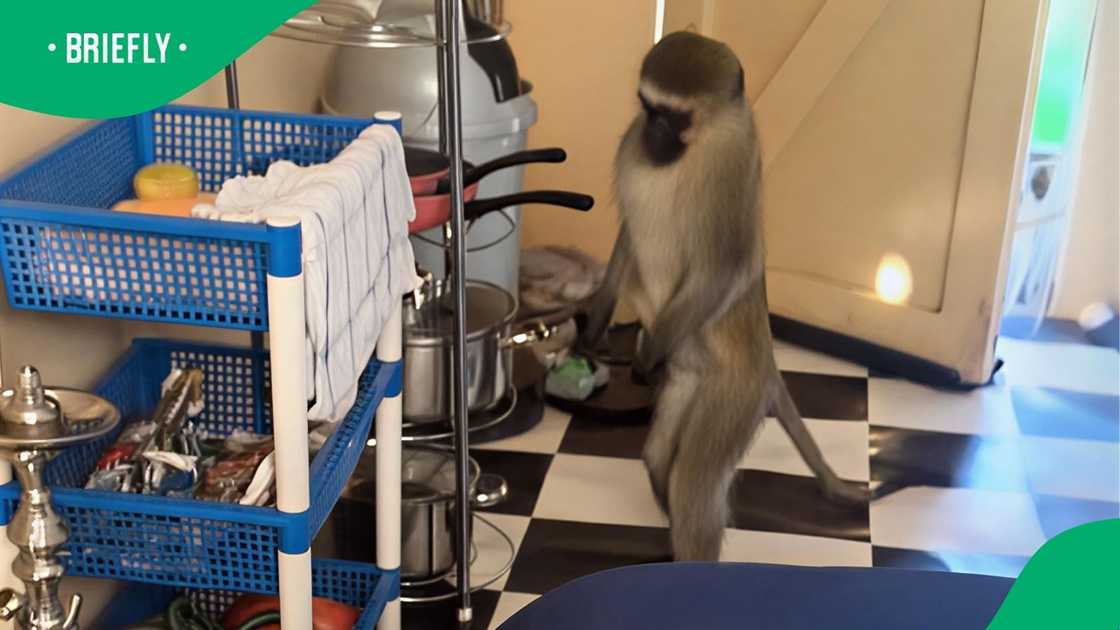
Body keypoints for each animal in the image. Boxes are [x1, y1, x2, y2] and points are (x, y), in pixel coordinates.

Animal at [576, 32, 867, 562]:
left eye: (677, 118)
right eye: (649, 108)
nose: (654, 135)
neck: (696, 146)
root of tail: (766, 362)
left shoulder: (732, 161)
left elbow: (725, 268)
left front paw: (644, 355)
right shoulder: (632, 140)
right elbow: (628, 235)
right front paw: (596, 323)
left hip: (734, 394)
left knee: (693, 478)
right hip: (689, 382)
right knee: (660, 457)